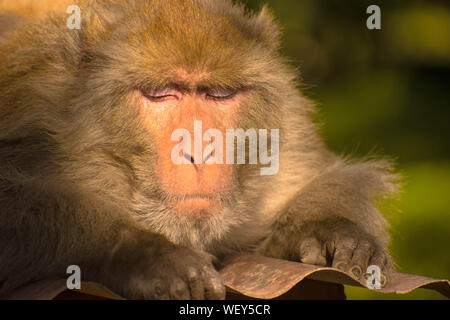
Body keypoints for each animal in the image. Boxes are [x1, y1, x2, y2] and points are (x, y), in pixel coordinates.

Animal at [0, 0, 400, 300]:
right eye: (161, 93)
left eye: (219, 94)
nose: (199, 150)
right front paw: (140, 253)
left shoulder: (285, 132)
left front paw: (326, 227)